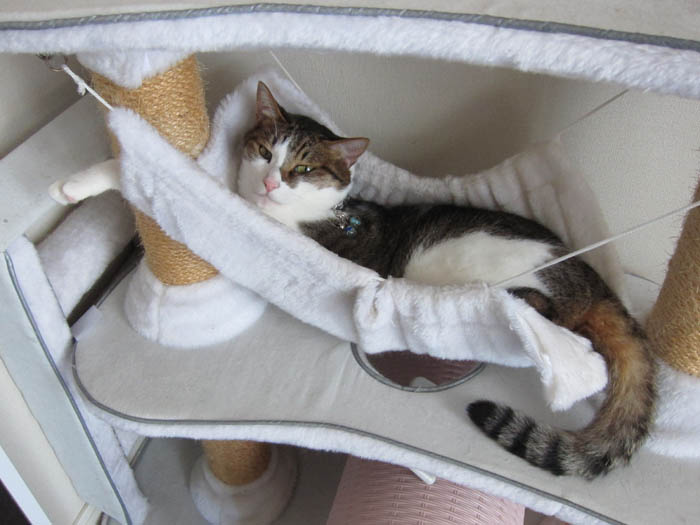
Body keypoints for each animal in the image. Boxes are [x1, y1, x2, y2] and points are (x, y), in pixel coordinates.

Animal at [239, 82, 657, 479]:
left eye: (302, 170)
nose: (270, 184)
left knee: (545, 308)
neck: (326, 213)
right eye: (264, 153)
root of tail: (592, 278)